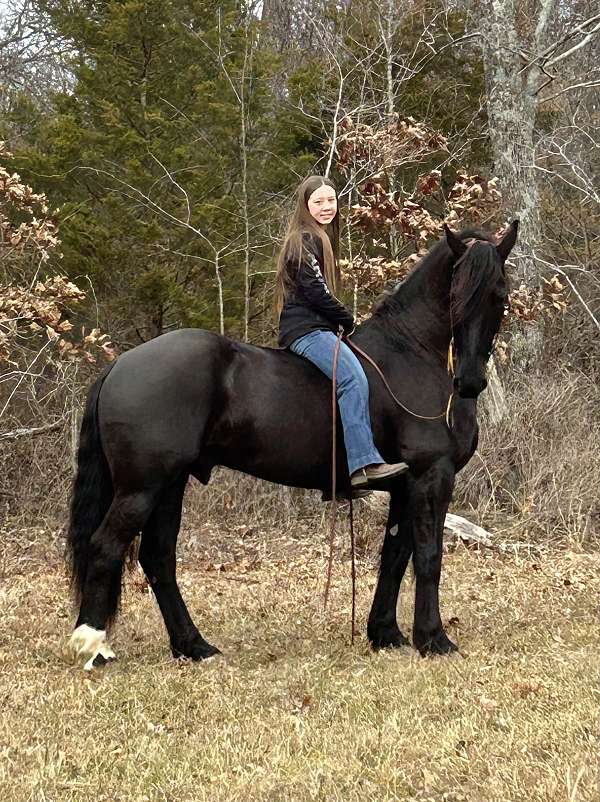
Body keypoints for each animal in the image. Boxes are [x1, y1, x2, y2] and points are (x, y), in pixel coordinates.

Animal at [65, 222, 516, 664]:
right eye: (456, 295)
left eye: (499, 295)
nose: (470, 382)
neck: (410, 353)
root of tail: (120, 364)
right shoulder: (431, 476)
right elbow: (428, 556)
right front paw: (434, 639)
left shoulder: (406, 487)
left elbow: (395, 556)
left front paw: (385, 633)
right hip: (142, 487)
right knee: (106, 547)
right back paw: (94, 646)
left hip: (170, 484)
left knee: (157, 558)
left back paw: (193, 646)